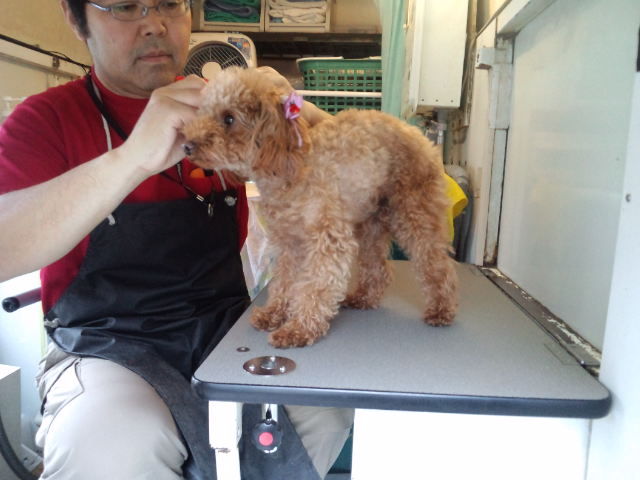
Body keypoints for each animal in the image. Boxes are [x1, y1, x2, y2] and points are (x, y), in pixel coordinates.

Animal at [181, 67, 458, 348]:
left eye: (229, 118)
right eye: (202, 113)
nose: (187, 146)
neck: (288, 169)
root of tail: (418, 135)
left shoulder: (327, 237)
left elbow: (316, 284)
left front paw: (299, 329)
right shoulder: (289, 240)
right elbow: (285, 279)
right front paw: (274, 313)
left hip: (414, 209)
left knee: (436, 262)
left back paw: (441, 309)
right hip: (370, 218)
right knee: (378, 266)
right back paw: (364, 298)